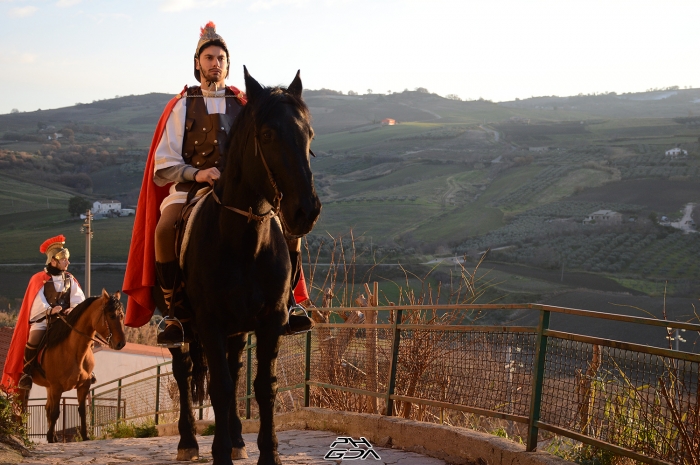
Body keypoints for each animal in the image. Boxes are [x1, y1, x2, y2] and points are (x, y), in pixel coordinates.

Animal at [29, 290, 126, 442]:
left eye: (122, 315)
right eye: (111, 315)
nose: (121, 343)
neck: (74, 352)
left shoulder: (83, 386)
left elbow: (82, 411)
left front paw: (85, 436)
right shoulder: (56, 387)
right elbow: (55, 412)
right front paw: (50, 438)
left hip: (48, 387)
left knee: (47, 407)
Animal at [167, 68, 322, 464]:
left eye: (309, 134)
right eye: (267, 135)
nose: (306, 211)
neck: (245, 242)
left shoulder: (270, 320)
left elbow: (262, 385)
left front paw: (268, 453)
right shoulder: (209, 322)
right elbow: (219, 387)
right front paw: (219, 451)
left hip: (237, 330)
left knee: (235, 369)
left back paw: (237, 438)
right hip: (182, 326)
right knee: (183, 371)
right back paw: (188, 441)